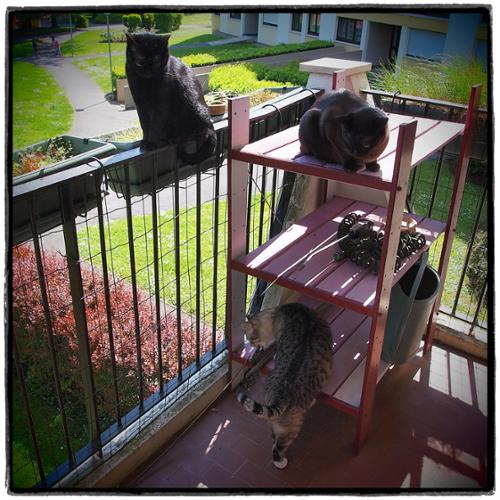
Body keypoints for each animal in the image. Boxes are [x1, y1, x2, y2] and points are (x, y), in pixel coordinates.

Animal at [125, 32, 216, 164]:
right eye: (140, 60)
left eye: (157, 60)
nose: (148, 71)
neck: (147, 83)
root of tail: (211, 128)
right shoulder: (140, 105)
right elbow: (144, 124)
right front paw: (145, 141)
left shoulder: (161, 104)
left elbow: (156, 124)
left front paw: (151, 143)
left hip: (193, 104)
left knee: (195, 133)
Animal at [237, 302, 332, 469]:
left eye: (251, 338)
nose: (253, 346)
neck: (277, 312)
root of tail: (281, 395)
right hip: (293, 427)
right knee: (278, 446)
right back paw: (281, 462)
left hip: (278, 422)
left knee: (274, 436)